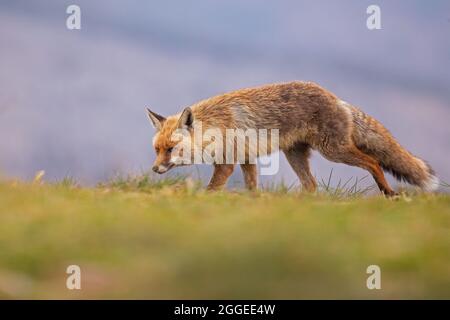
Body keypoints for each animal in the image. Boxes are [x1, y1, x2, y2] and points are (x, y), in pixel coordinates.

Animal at [146, 81, 438, 195]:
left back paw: (388, 192)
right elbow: (252, 187)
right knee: (311, 185)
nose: (154, 169)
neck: (216, 125)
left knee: (373, 162)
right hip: (295, 154)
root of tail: (336, 98)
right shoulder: (247, 158)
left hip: (334, 150)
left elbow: (211, 189)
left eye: (170, 149)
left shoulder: (228, 162)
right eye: (157, 149)